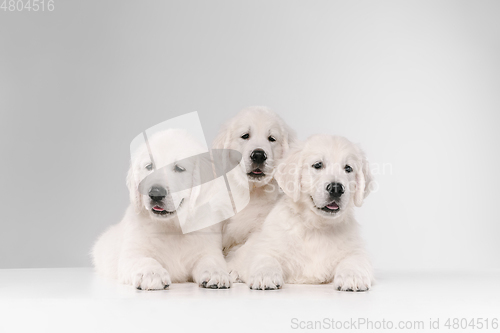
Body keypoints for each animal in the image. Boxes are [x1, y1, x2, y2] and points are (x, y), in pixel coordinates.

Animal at [92, 128, 230, 290]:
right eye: (149, 166)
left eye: (179, 168)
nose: (155, 193)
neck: (172, 227)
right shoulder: (131, 253)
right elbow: (144, 259)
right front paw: (152, 274)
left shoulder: (208, 248)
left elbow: (211, 260)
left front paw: (217, 273)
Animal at [211, 105, 296, 278]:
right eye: (245, 136)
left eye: (271, 138)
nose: (258, 155)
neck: (250, 190)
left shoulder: (263, 226)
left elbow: (245, 249)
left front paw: (231, 268)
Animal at [230, 135, 376, 290]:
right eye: (318, 165)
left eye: (348, 168)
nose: (336, 189)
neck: (317, 227)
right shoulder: (266, 246)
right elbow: (265, 258)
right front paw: (265, 276)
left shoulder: (354, 249)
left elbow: (355, 259)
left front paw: (353, 277)